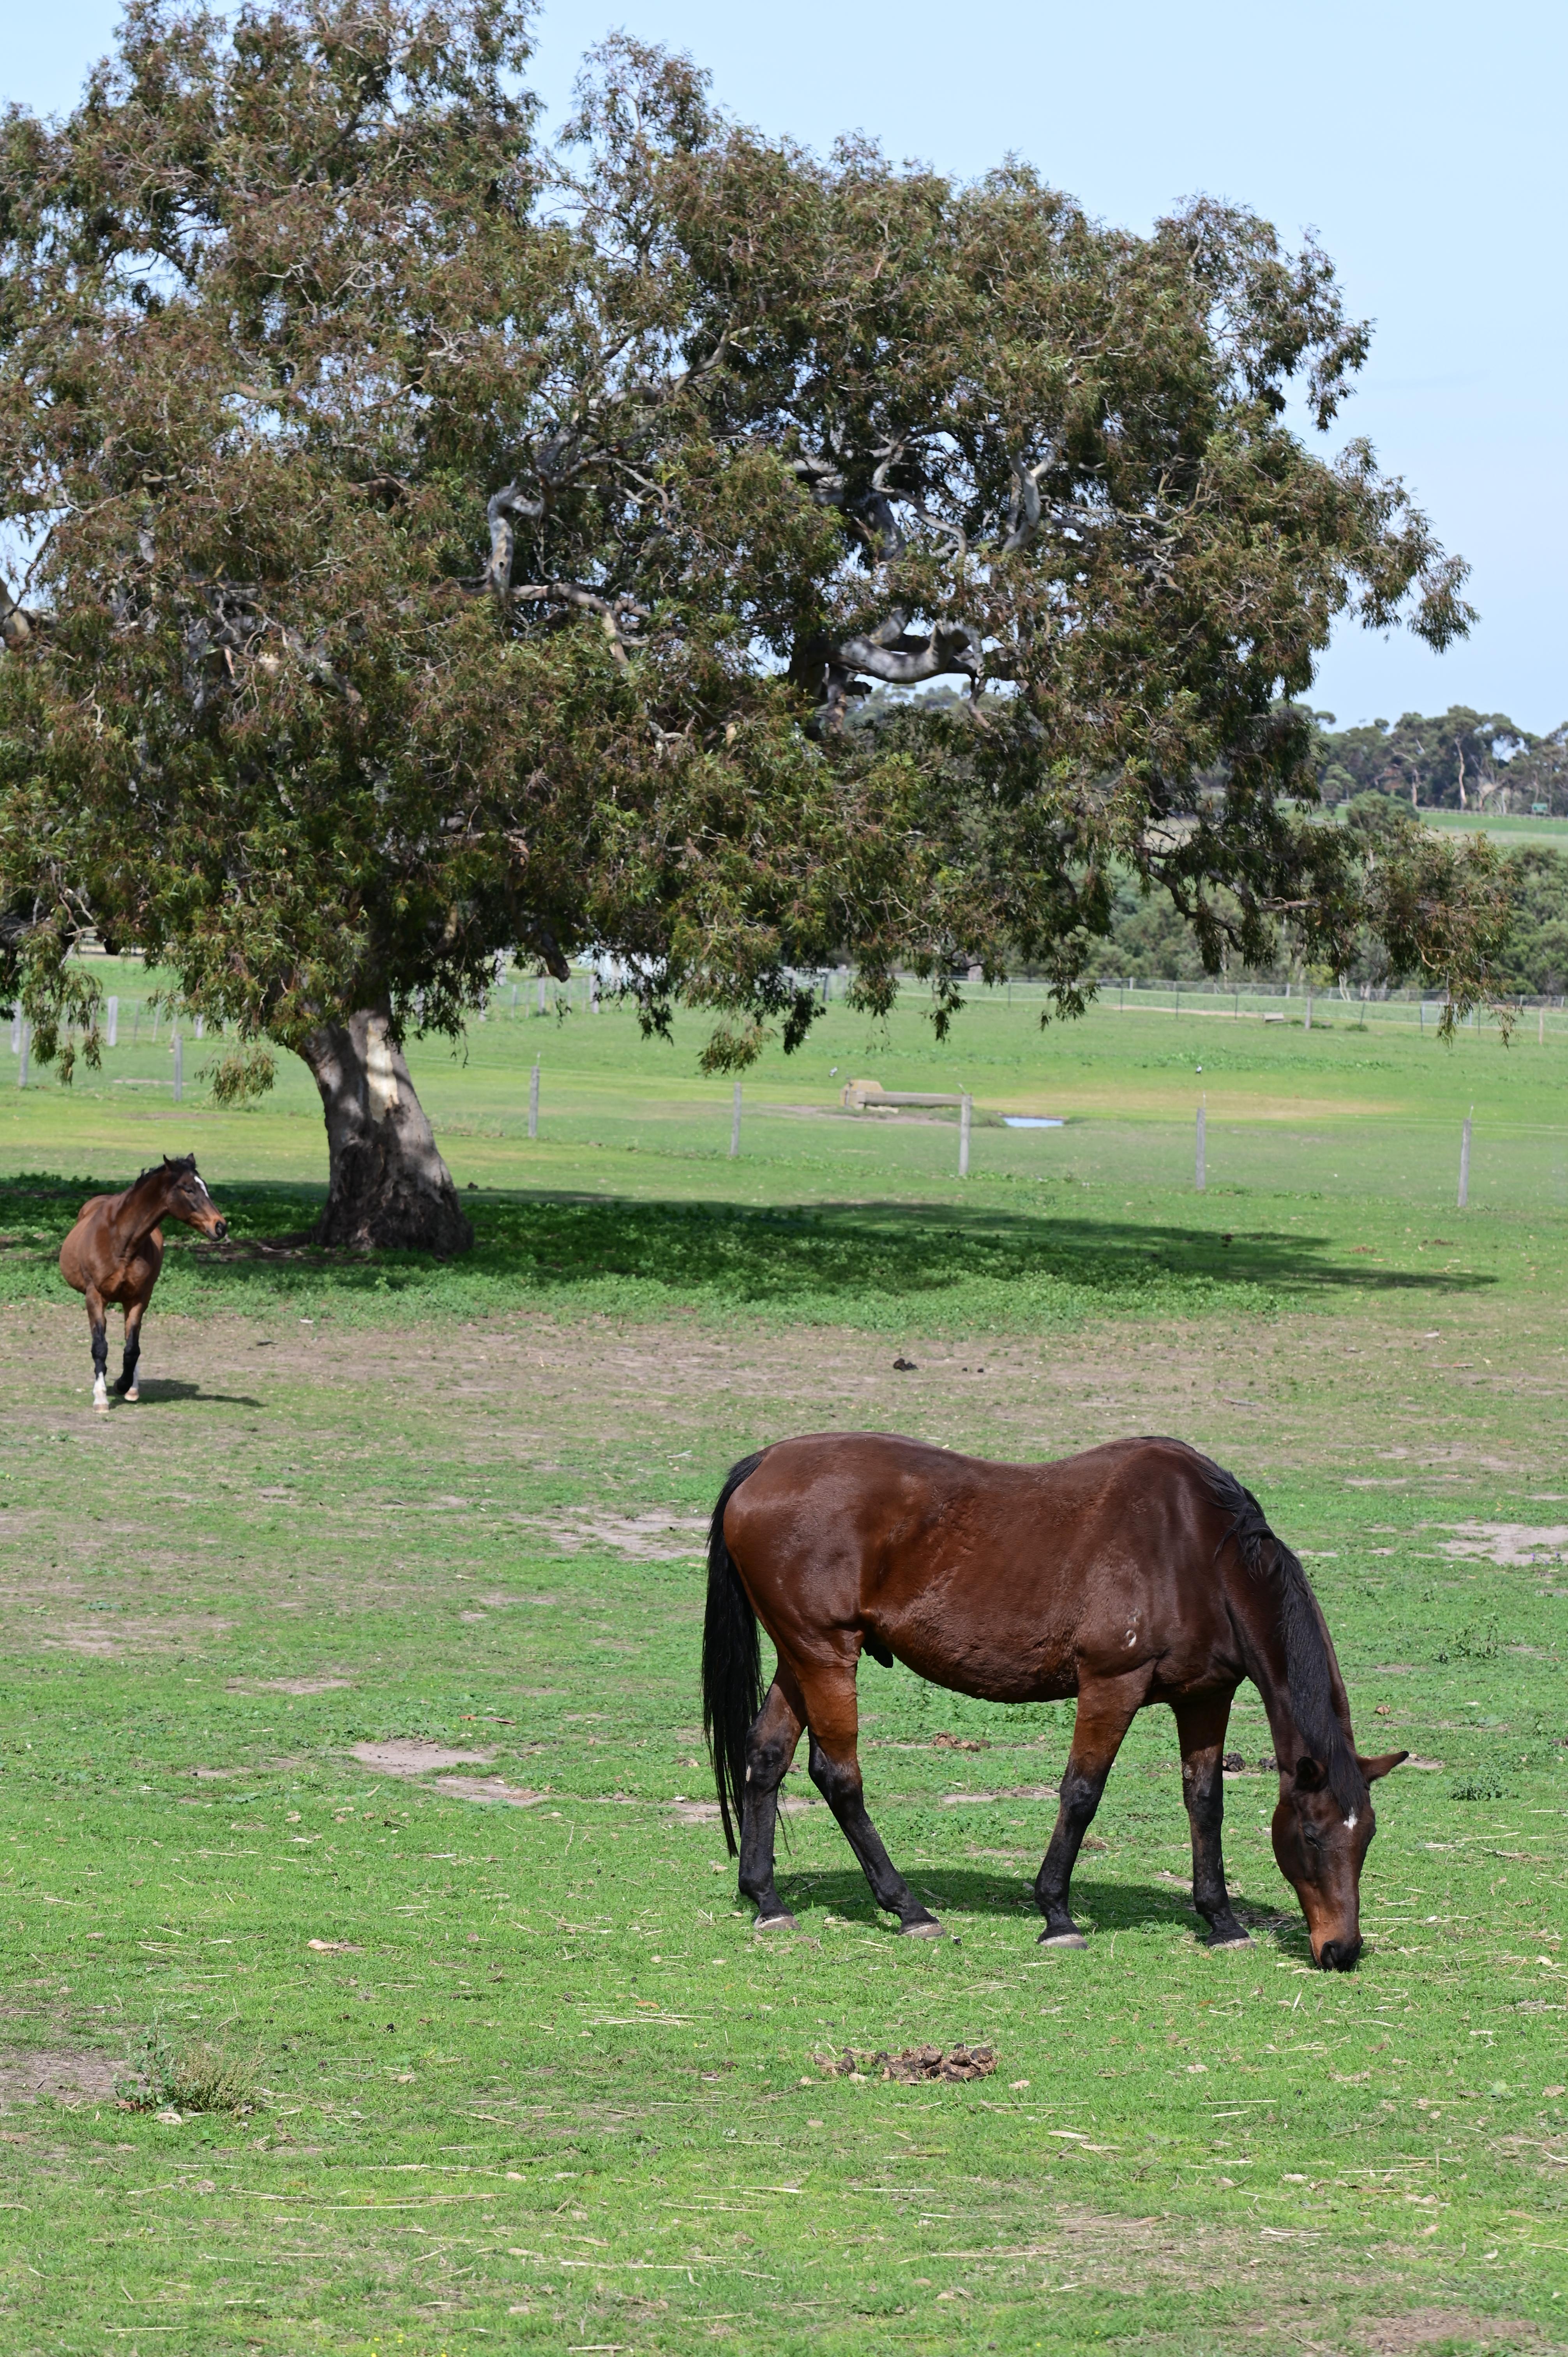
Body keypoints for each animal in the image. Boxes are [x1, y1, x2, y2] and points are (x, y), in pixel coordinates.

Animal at [58, 1155, 229, 1410]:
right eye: (189, 1189)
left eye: (205, 1187)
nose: (220, 1226)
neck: (121, 1241)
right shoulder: (94, 1296)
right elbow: (100, 1346)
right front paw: (101, 1397)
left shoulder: (139, 1297)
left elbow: (132, 1348)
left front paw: (123, 1385)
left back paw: (132, 1387)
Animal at [703, 1432, 1406, 1971]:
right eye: (1311, 1834)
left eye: (1367, 1836)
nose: (1341, 1949)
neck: (1198, 1552)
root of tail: (764, 1462)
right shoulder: (1111, 1684)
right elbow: (1082, 1793)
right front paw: (1056, 1914)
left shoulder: (1206, 1697)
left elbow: (1204, 1803)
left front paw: (1221, 1920)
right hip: (825, 1655)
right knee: (838, 1774)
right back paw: (909, 1909)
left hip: (800, 1657)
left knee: (766, 1757)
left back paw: (767, 1901)